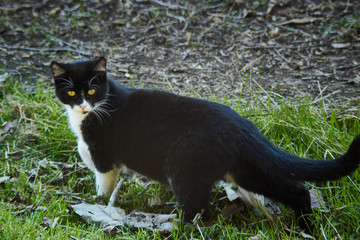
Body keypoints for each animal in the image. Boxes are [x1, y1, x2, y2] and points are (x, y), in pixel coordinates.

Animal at [50, 56, 360, 231]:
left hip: (184, 166)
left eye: (92, 90)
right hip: (244, 169)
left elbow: (103, 182)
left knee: (197, 208)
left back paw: (176, 225)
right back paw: (306, 227)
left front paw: (99, 202)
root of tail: (244, 127)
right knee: (296, 189)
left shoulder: (102, 155)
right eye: (71, 92)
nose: (82, 105)